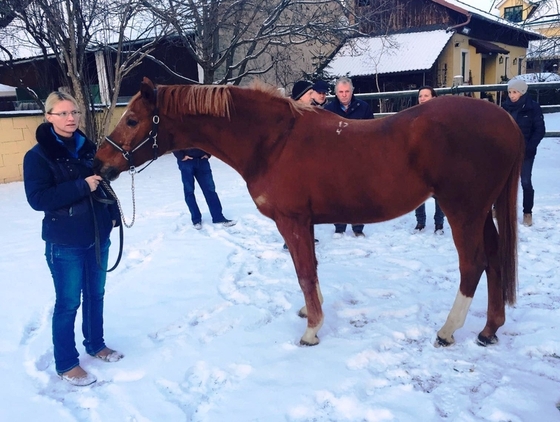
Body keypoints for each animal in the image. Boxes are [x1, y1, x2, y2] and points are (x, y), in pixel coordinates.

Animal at [93, 77, 524, 348]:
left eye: (132, 119)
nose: (99, 165)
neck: (273, 141)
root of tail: (506, 119)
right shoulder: (304, 223)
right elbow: (311, 268)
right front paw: (310, 313)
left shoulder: (293, 221)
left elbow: (303, 270)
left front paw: (312, 330)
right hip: (482, 212)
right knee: (495, 260)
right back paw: (489, 329)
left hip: (462, 211)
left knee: (474, 264)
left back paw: (448, 331)